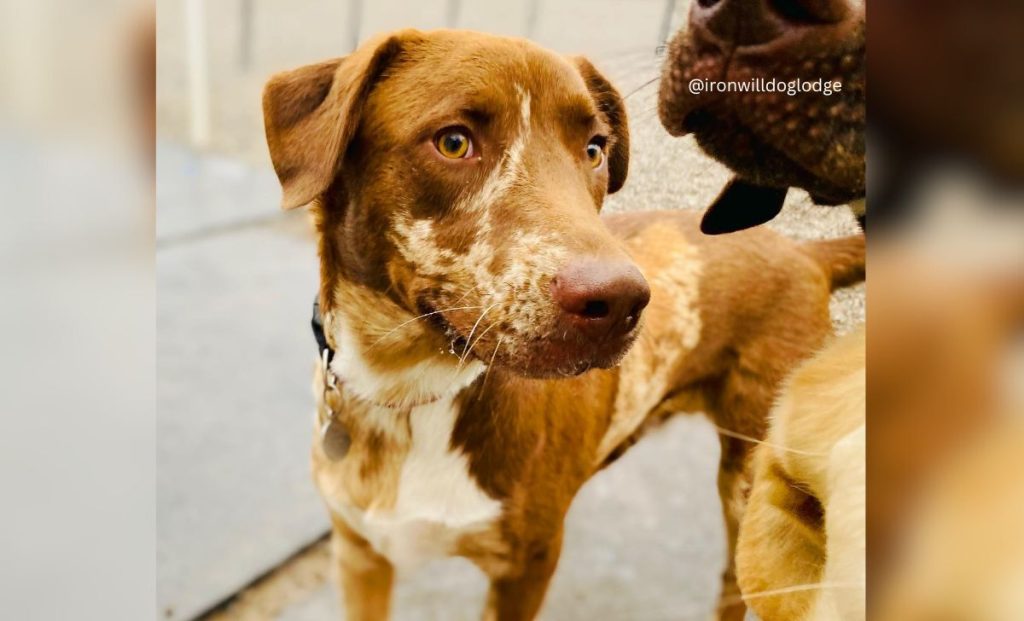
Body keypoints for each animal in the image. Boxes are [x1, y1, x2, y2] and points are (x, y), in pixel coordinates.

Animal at [260, 26, 860, 618]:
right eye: (453, 142)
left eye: (594, 149)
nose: (620, 301)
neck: (405, 395)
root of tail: (805, 253)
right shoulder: (358, 554)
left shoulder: (529, 564)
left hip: (753, 489)